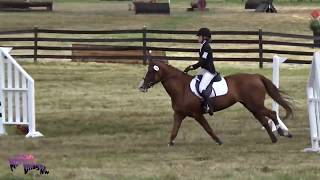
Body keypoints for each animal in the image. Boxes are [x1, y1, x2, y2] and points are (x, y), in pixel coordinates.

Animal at [138, 60, 292, 146]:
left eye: (151, 72)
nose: (142, 87)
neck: (181, 88)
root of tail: (255, 76)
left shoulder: (197, 114)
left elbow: (208, 129)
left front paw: (219, 141)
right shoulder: (179, 114)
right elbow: (174, 131)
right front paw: (170, 144)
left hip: (255, 105)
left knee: (272, 113)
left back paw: (282, 133)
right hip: (251, 106)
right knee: (264, 120)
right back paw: (275, 138)